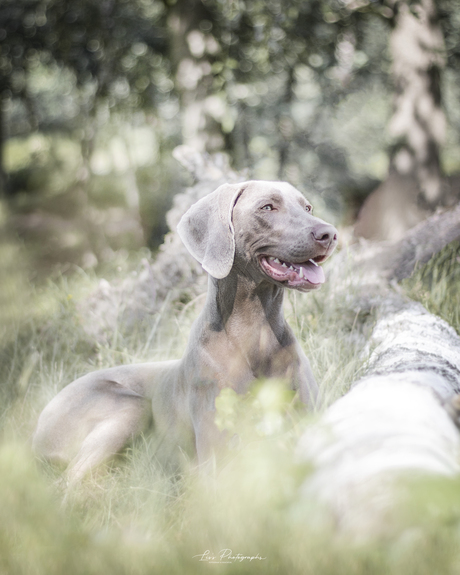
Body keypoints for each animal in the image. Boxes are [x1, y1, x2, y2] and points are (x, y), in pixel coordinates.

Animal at [32, 180, 338, 482]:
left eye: (307, 207)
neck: (256, 331)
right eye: (267, 207)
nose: (330, 233)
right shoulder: (219, 459)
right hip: (129, 408)